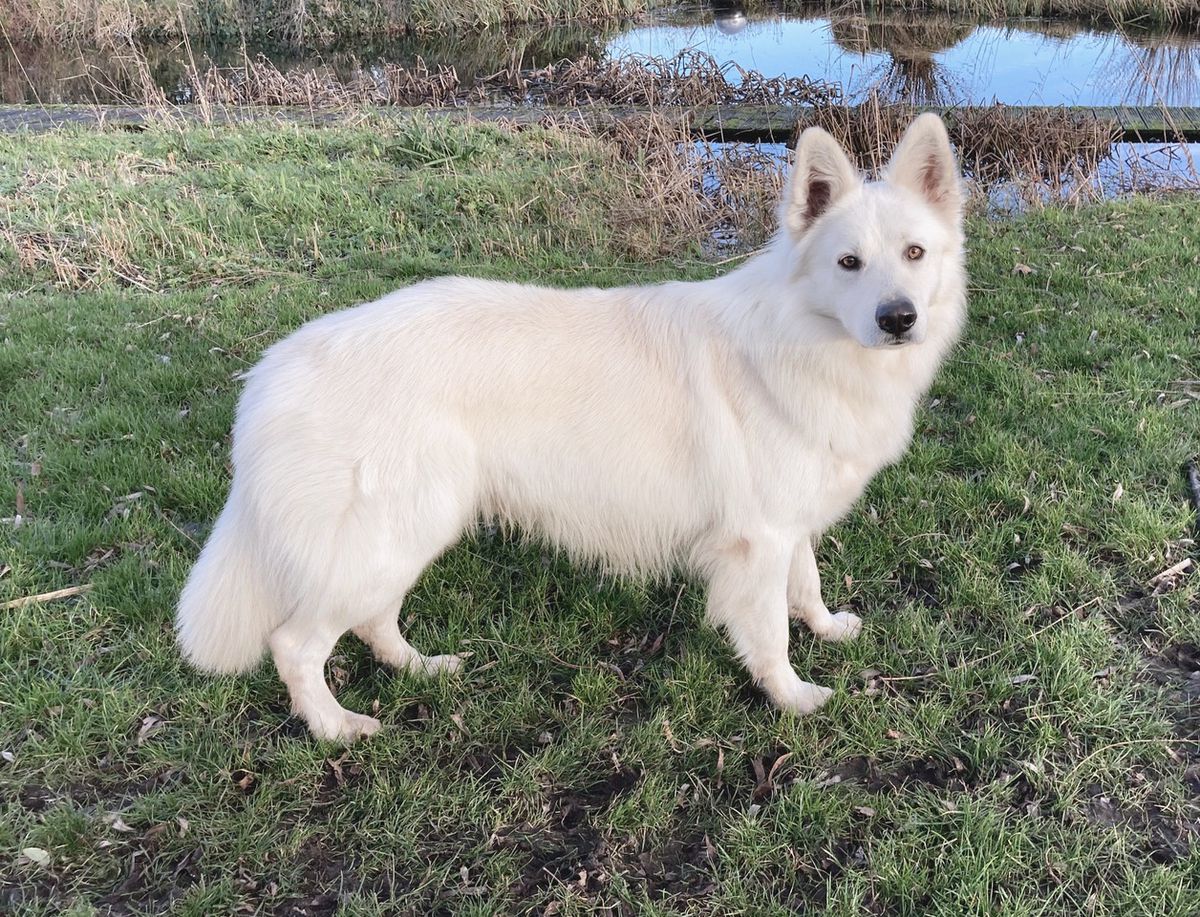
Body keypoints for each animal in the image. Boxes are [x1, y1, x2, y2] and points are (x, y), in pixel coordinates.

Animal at [175, 116, 964, 744]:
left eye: (915, 254)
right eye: (848, 262)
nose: (898, 319)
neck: (803, 338)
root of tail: (272, 372)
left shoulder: (788, 524)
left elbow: (808, 583)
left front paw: (827, 628)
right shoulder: (759, 540)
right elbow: (769, 630)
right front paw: (793, 697)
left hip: (410, 532)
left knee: (372, 619)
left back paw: (420, 668)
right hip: (389, 536)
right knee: (294, 643)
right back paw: (336, 726)